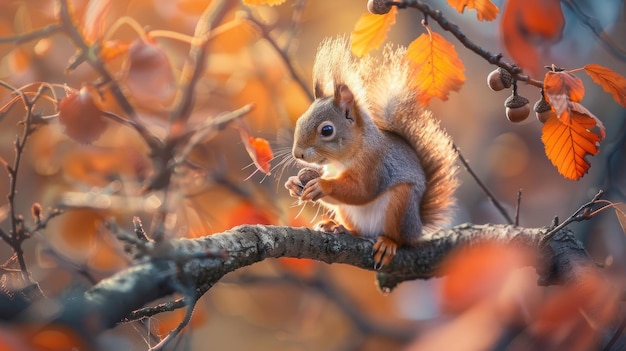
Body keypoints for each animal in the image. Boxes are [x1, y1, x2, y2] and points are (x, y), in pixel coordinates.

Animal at [286, 36, 456, 270]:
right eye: (300, 119)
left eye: (327, 130)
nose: (297, 154)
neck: (343, 159)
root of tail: (417, 229)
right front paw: (294, 183)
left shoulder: (375, 164)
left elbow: (362, 190)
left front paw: (322, 185)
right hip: (350, 213)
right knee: (358, 229)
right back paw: (339, 228)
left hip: (401, 205)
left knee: (398, 238)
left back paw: (388, 243)